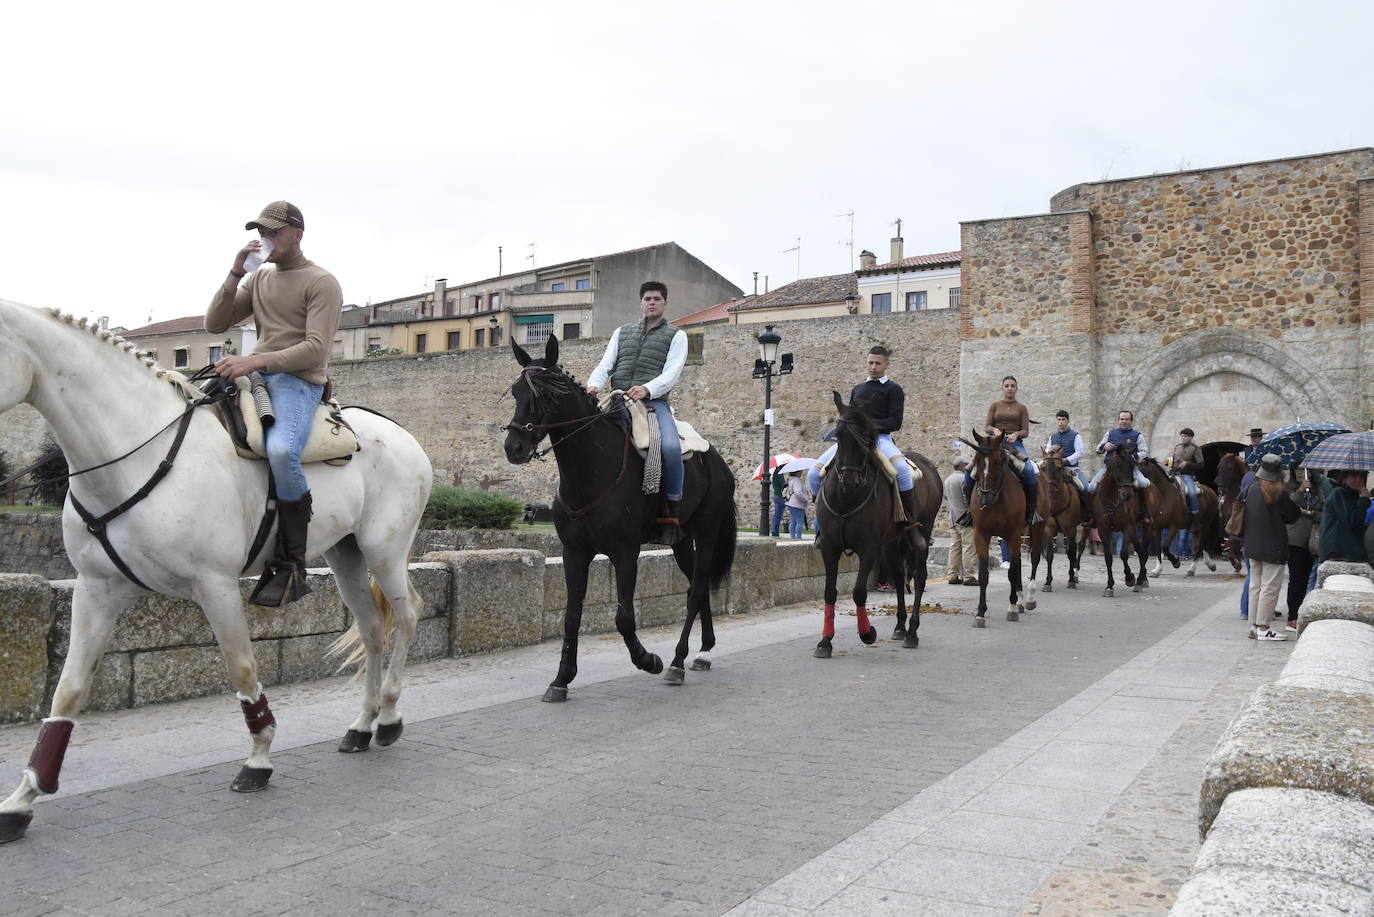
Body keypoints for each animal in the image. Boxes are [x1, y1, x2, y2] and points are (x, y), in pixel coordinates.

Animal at [0, 301, 431, 846]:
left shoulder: (217, 586)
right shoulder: (97, 590)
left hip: (384, 551)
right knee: (374, 629)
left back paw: (390, 716)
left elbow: (242, 669)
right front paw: (25, 796)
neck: (137, 454)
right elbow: (69, 689)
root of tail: (401, 435)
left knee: (408, 614)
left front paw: (259, 757)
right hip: (345, 555)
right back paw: (361, 725)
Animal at [813, 390, 945, 657]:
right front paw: (825, 641)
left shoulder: (869, 548)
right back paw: (900, 627)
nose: (850, 481)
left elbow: (859, 592)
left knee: (919, 576)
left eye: (865, 436)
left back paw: (912, 631)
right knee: (898, 575)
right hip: (893, 541)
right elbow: (829, 593)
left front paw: (867, 633)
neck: (846, 500)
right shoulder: (830, 547)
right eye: (839, 435)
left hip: (923, 531)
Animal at [961, 428, 1044, 624]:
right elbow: (984, 574)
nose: (984, 496)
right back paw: (1020, 600)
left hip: (1037, 528)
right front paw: (980, 612)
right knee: (1019, 561)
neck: (996, 498)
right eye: (976, 460)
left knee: (1034, 559)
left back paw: (1028, 599)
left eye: (998, 461)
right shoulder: (981, 534)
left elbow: (1012, 571)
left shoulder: (1012, 534)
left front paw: (1012, 607)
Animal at [1038, 445, 1082, 591]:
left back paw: (1075, 575)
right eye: (1043, 467)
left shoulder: (1071, 529)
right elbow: (1050, 555)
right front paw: (1048, 582)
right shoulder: (1049, 530)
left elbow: (1071, 554)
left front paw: (1071, 579)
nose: (1050, 490)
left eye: (1058, 467)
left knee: (1077, 548)